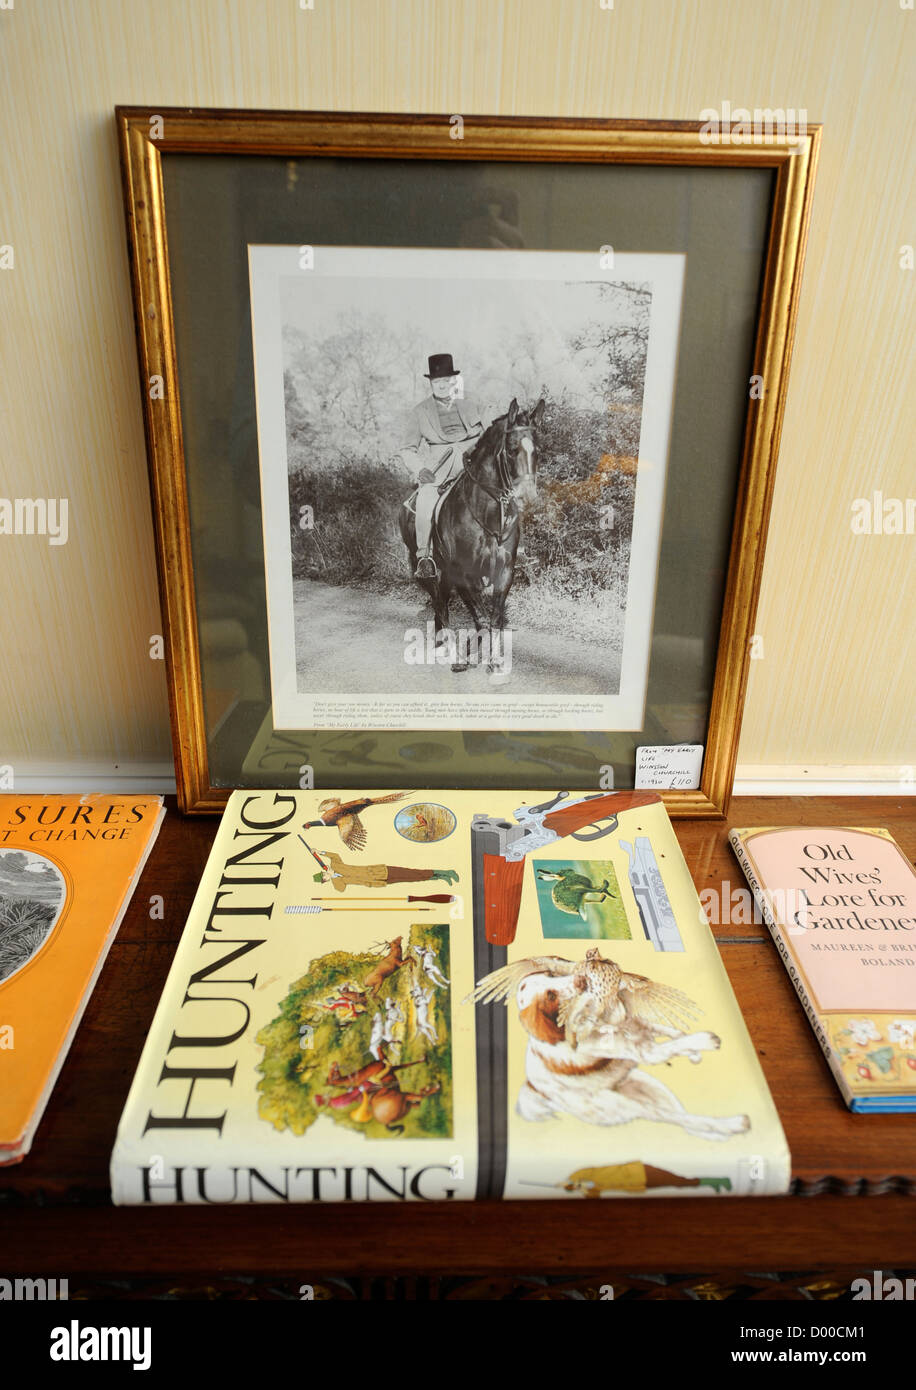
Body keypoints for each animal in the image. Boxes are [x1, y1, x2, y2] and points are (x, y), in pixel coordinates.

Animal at [400, 397, 544, 672]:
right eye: (512, 449)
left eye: (538, 450)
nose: (529, 500)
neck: (485, 513)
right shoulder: (464, 574)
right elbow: (480, 618)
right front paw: (466, 658)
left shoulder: (503, 572)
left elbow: (493, 618)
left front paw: (492, 659)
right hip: (426, 569)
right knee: (440, 605)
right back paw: (449, 649)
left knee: (442, 604)